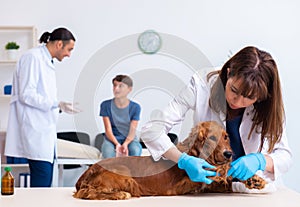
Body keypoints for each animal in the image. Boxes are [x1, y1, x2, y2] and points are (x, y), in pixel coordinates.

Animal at [74, 120, 266, 200]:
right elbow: (216, 172)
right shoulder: (184, 183)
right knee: (85, 193)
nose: (229, 153)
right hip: (124, 174)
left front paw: (254, 179)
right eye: (212, 138)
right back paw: (119, 194)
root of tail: (83, 176)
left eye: (226, 137)